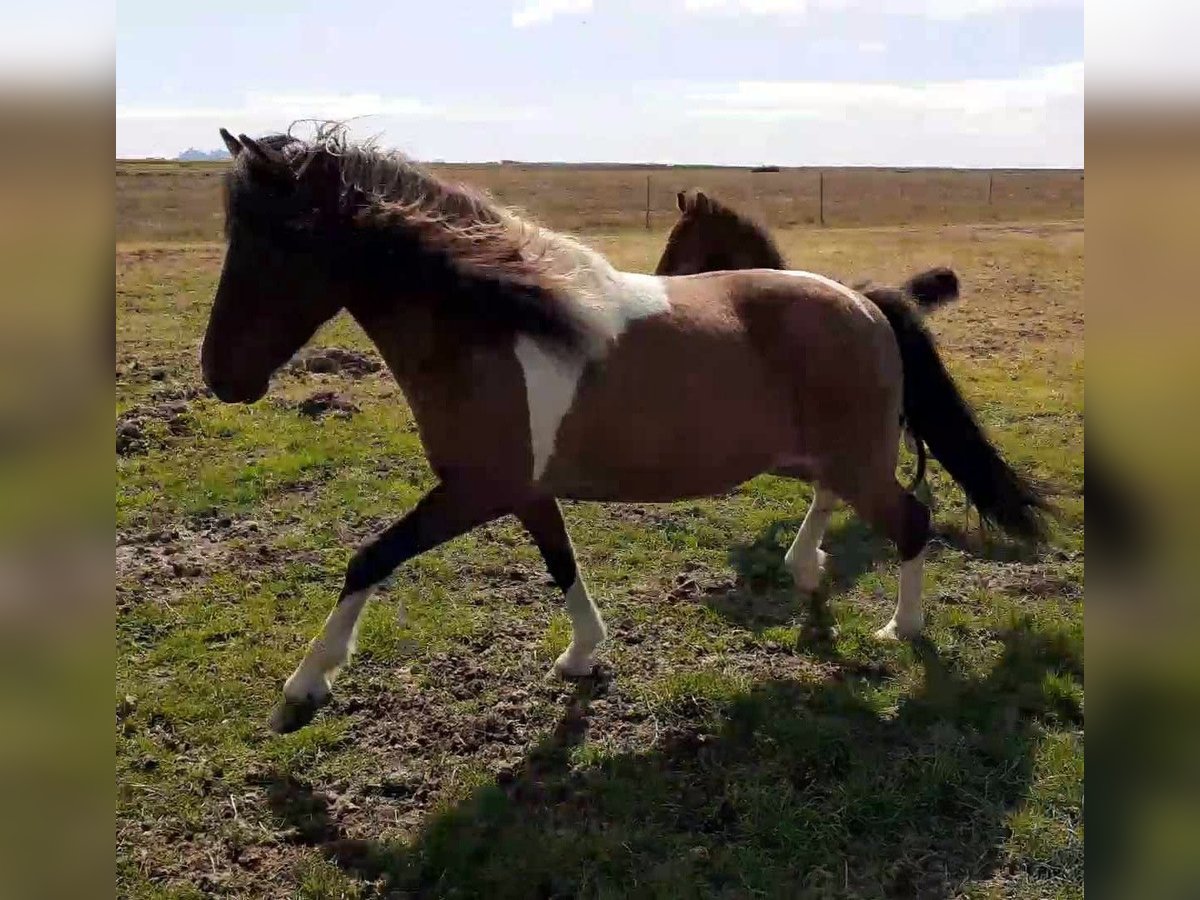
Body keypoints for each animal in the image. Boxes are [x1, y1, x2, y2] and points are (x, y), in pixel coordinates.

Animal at [201, 127, 1046, 734]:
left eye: (277, 243)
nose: (220, 377)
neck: (495, 322)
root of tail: (866, 302)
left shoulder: (473, 491)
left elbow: (370, 559)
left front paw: (303, 688)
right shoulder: (520, 491)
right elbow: (560, 561)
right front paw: (581, 656)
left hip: (858, 460)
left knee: (912, 519)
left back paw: (900, 627)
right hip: (818, 455)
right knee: (839, 500)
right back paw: (805, 569)